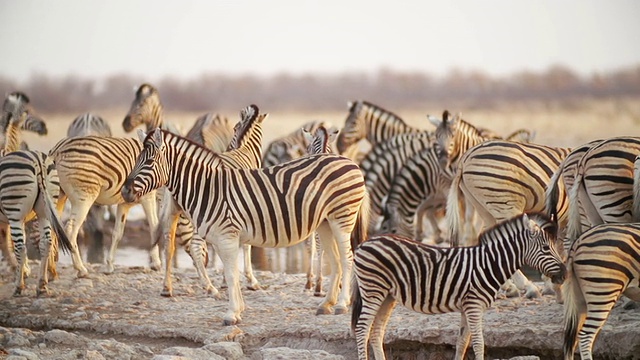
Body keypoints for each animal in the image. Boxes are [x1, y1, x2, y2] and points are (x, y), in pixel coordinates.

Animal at [48, 135, 161, 276]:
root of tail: (58, 150)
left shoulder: (124, 203)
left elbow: (117, 233)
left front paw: (109, 266)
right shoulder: (148, 197)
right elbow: (154, 226)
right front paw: (156, 264)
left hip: (59, 196)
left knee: (51, 228)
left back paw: (50, 269)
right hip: (84, 198)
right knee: (70, 231)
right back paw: (80, 269)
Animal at [123, 128, 370, 324]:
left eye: (149, 162)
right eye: (136, 160)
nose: (125, 191)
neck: (207, 188)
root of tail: (349, 162)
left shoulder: (227, 236)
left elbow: (232, 275)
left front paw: (231, 314)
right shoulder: (221, 239)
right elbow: (231, 272)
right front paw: (239, 309)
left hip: (342, 218)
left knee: (347, 259)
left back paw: (341, 305)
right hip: (325, 223)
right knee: (336, 261)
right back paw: (326, 304)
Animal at [352, 212, 568, 358]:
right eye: (546, 248)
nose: (565, 274)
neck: (488, 264)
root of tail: (364, 243)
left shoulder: (467, 307)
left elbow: (462, 342)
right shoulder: (474, 306)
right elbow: (479, 343)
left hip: (388, 296)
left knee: (376, 332)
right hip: (373, 291)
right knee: (362, 329)